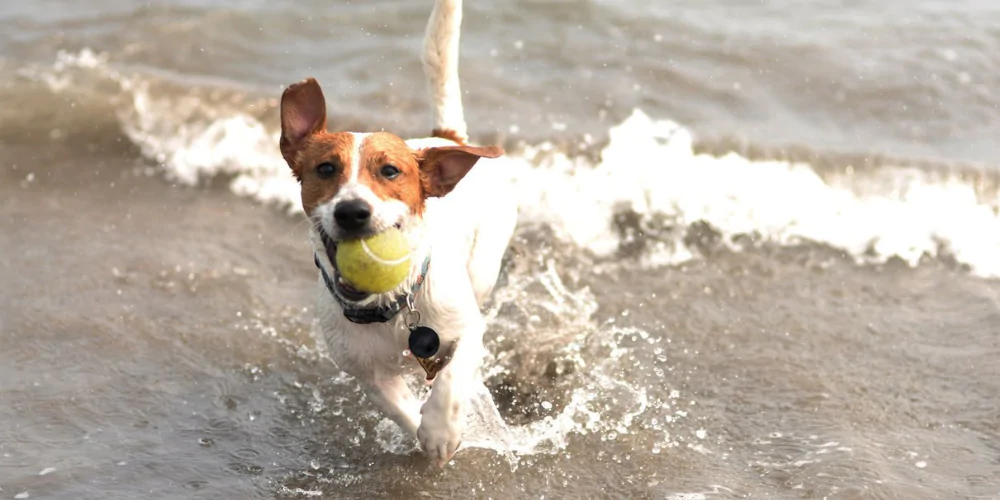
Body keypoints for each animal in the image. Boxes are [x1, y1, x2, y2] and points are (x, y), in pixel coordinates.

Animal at [280, 0, 520, 468]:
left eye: (390, 171)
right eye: (325, 169)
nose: (352, 211)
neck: (390, 307)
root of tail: (441, 141)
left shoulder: (467, 328)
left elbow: (453, 378)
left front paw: (441, 431)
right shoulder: (367, 373)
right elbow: (398, 407)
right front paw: (423, 431)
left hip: (484, 267)